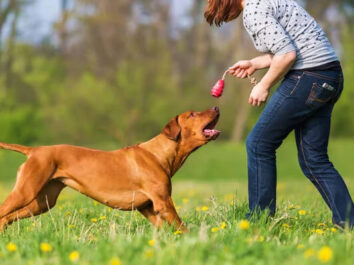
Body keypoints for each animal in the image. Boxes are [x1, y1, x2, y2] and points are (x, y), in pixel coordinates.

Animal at [0, 106, 220, 230]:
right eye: (192, 114)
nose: (216, 106)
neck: (159, 153)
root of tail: (34, 150)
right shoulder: (163, 202)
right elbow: (182, 228)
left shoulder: (147, 207)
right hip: (25, 191)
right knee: (3, 211)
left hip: (43, 201)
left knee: (7, 217)